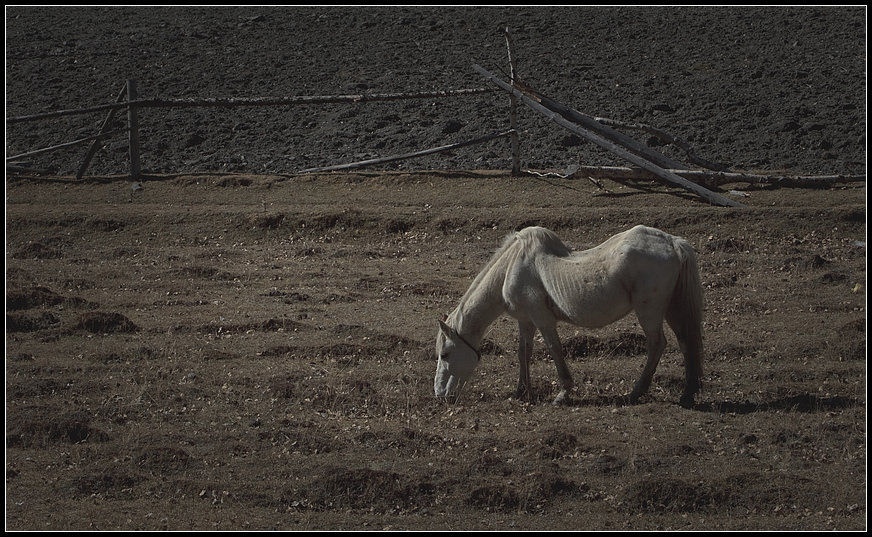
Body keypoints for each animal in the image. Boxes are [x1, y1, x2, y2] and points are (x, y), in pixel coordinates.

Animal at [432, 225, 704, 406]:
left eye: (444, 354)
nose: (439, 394)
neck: (511, 267)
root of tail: (673, 242)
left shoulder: (542, 319)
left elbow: (555, 349)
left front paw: (563, 393)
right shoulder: (526, 321)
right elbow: (524, 353)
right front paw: (522, 392)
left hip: (650, 311)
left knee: (657, 344)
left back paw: (636, 392)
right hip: (672, 309)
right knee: (685, 342)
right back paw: (687, 393)